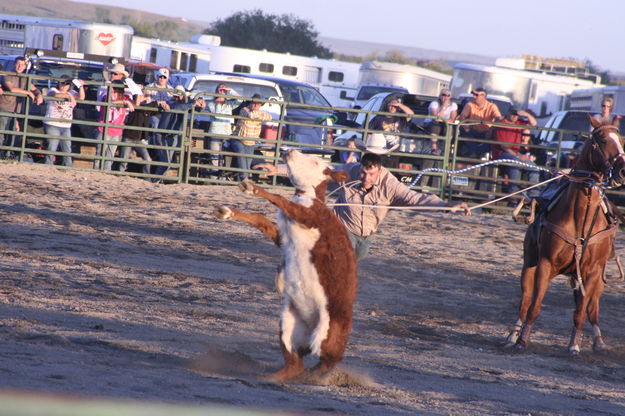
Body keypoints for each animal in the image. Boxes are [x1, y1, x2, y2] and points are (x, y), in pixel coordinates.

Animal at [213, 150, 356, 380]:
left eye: (315, 161)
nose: (290, 151)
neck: (309, 197)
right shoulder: (282, 236)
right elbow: (259, 219)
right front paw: (227, 211)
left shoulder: (309, 216)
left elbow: (281, 200)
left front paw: (252, 188)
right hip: (288, 327)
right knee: (294, 361)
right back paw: (275, 376)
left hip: (330, 335)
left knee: (329, 361)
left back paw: (314, 377)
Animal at [504, 116, 624, 354]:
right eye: (602, 139)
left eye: (622, 139)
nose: (622, 170)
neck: (580, 218)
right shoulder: (545, 264)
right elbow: (534, 306)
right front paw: (522, 340)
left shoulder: (592, 271)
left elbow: (580, 312)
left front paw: (574, 345)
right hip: (529, 264)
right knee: (525, 300)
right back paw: (513, 335)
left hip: (596, 278)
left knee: (593, 307)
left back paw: (599, 341)